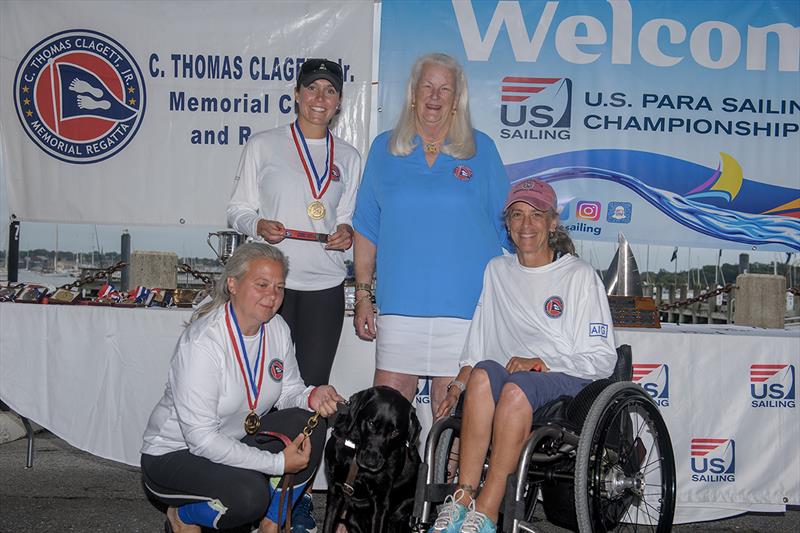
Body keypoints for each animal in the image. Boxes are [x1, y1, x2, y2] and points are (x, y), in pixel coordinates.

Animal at [324, 384, 422, 528]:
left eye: (395, 432)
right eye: (371, 423)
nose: (371, 463)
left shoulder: (381, 501)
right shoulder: (335, 491)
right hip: (352, 518)